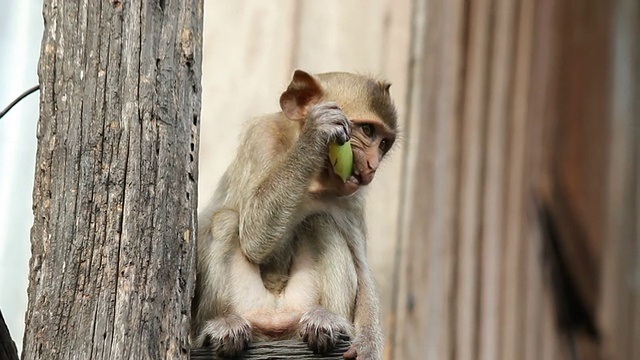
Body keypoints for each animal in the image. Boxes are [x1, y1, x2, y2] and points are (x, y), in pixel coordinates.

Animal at [192, 69, 398, 358]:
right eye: (368, 130)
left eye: (384, 144)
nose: (372, 166)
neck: (314, 180)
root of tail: (275, 320)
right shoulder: (261, 138)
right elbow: (254, 236)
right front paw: (316, 132)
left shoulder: (353, 197)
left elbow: (361, 267)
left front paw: (368, 344)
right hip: (248, 306)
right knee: (225, 220)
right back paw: (221, 328)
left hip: (298, 307)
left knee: (321, 221)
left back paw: (327, 322)